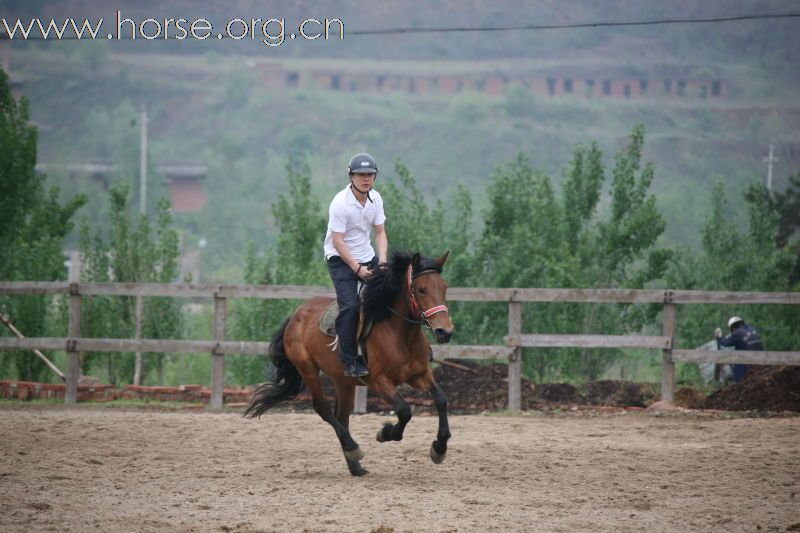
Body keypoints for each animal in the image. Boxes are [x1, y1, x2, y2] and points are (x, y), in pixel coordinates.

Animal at [244, 251, 454, 476]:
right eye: (421, 289)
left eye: (444, 287)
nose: (445, 332)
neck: (400, 334)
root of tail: (295, 315)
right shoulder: (379, 381)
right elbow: (404, 411)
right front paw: (385, 433)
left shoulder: (420, 375)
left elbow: (441, 400)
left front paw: (439, 449)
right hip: (308, 369)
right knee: (323, 409)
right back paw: (354, 449)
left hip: (342, 380)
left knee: (341, 415)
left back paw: (355, 466)